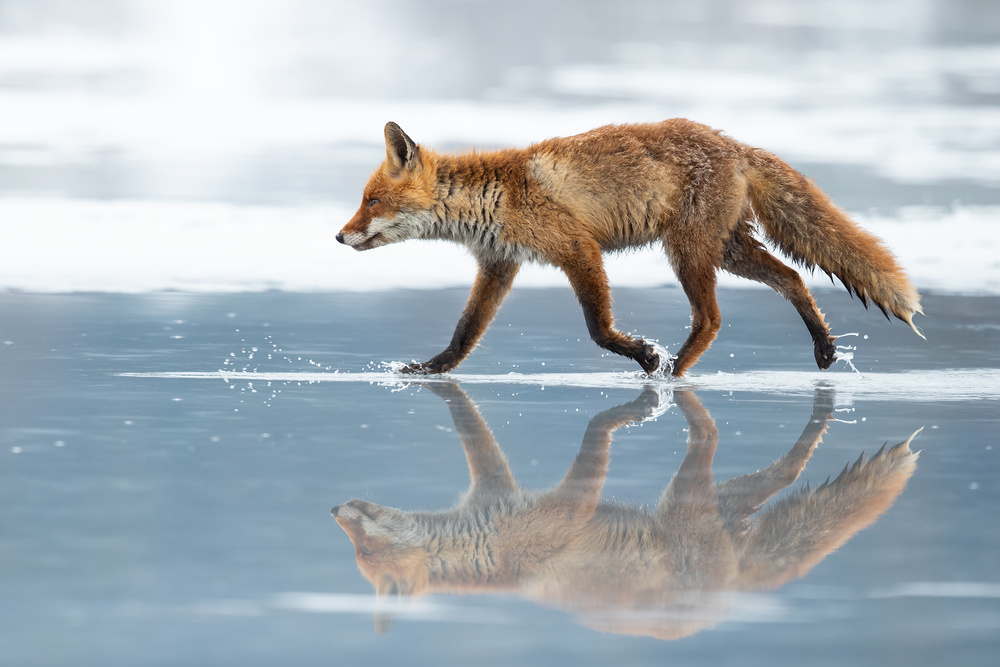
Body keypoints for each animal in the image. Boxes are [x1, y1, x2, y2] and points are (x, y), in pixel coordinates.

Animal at [331, 382, 919, 639]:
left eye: (364, 551)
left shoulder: (564, 507)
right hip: (720, 503)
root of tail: (728, 598)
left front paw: (622, 417)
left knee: (751, 454)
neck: (492, 550)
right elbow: (471, 427)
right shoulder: (494, 487)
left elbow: (595, 446)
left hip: (690, 496)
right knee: (786, 480)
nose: (333, 506)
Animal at [336, 119, 924, 376]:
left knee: (711, 318)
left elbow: (599, 328)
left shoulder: (578, 248)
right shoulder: (500, 265)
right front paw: (431, 370)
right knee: (794, 278)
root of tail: (733, 142)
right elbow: (464, 334)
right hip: (726, 251)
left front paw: (642, 354)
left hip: (688, 252)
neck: (498, 197)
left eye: (371, 200)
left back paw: (674, 372)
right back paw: (822, 347)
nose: (338, 236)